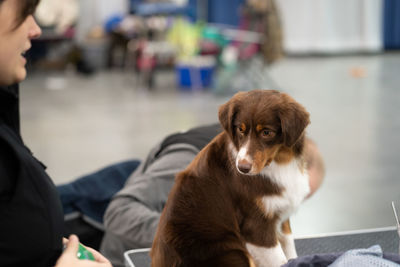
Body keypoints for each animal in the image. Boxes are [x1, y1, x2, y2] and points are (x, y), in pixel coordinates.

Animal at [152, 90, 310, 267]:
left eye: (266, 132)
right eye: (240, 129)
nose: (242, 168)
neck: (279, 162)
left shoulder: (281, 215)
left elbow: (290, 249)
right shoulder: (255, 226)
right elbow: (279, 261)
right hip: (233, 251)